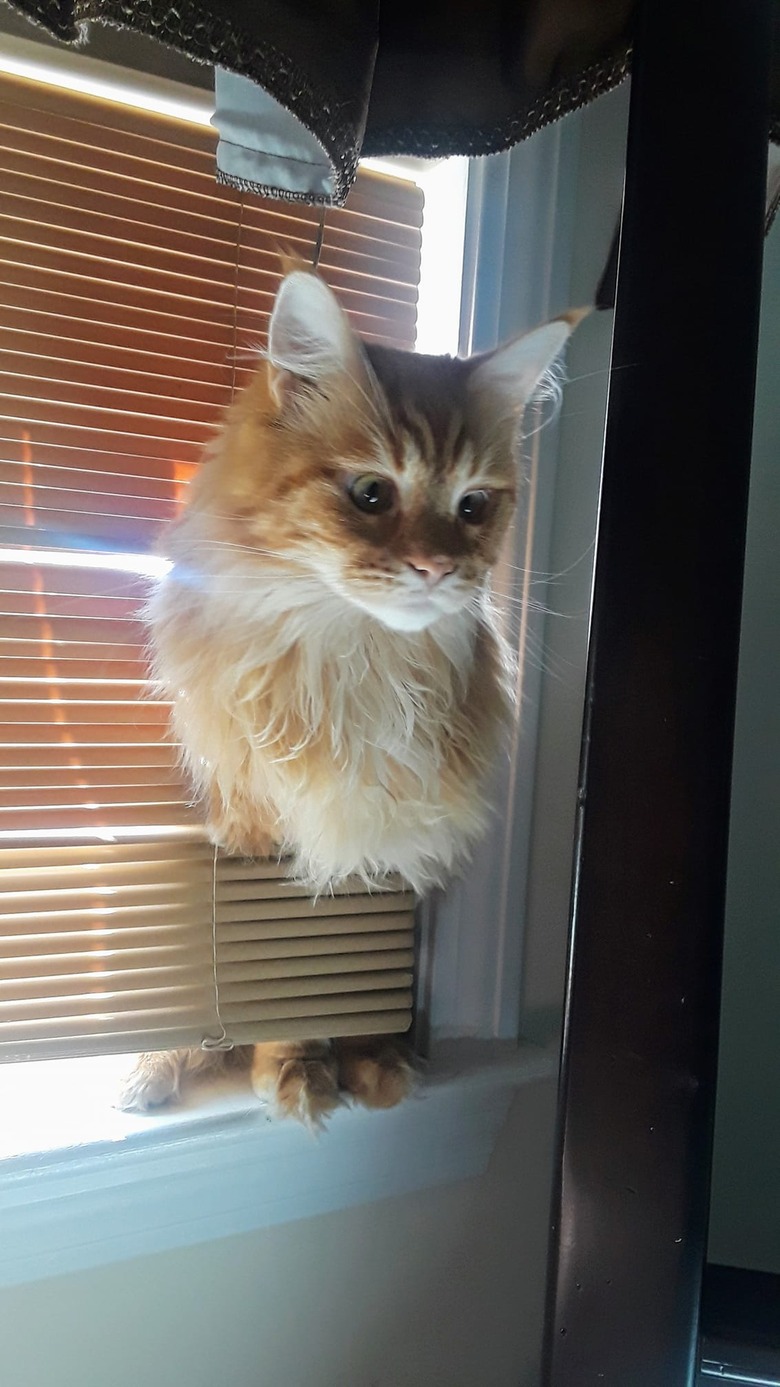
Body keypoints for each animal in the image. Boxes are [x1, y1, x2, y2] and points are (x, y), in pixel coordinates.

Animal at [120, 270, 582, 1126]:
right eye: (371, 492)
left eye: (474, 507)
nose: (437, 569)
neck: (362, 662)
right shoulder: (266, 823)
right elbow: (288, 978)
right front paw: (295, 1067)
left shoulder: (391, 827)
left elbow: (353, 969)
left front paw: (357, 1059)